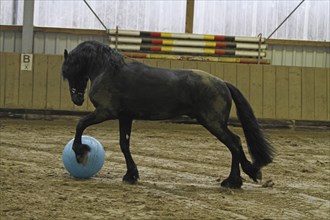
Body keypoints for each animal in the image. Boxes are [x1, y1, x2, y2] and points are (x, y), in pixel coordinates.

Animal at [61, 40, 274, 188]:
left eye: (70, 71)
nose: (77, 99)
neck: (108, 71)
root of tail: (222, 83)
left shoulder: (105, 112)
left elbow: (80, 124)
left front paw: (80, 152)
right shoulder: (125, 116)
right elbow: (124, 144)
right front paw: (131, 175)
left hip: (213, 122)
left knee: (235, 143)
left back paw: (233, 181)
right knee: (235, 145)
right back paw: (246, 175)